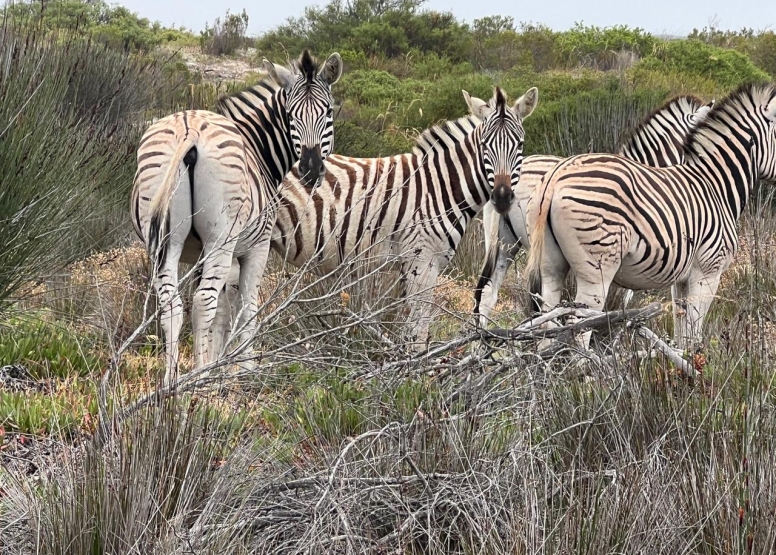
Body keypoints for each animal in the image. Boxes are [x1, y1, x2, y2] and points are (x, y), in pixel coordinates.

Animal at [132, 51, 344, 382]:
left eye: (329, 112)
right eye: (291, 116)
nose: (311, 169)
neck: (258, 150)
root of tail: (189, 129)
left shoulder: (202, 255)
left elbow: (221, 311)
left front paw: (213, 361)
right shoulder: (253, 247)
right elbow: (245, 305)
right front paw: (244, 368)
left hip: (165, 239)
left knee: (173, 303)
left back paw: (171, 380)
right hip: (220, 238)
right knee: (202, 300)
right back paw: (200, 380)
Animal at [264, 86, 536, 348]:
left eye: (520, 145)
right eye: (485, 145)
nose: (502, 197)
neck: (439, 186)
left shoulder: (414, 264)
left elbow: (409, 328)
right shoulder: (422, 260)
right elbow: (419, 331)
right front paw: (417, 365)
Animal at [528, 82, 776, 352]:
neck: (716, 185)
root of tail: (556, 176)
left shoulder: (681, 280)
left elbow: (682, 332)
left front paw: (679, 361)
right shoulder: (708, 271)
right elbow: (694, 330)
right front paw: (695, 364)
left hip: (551, 266)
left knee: (546, 322)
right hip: (596, 269)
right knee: (578, 330)